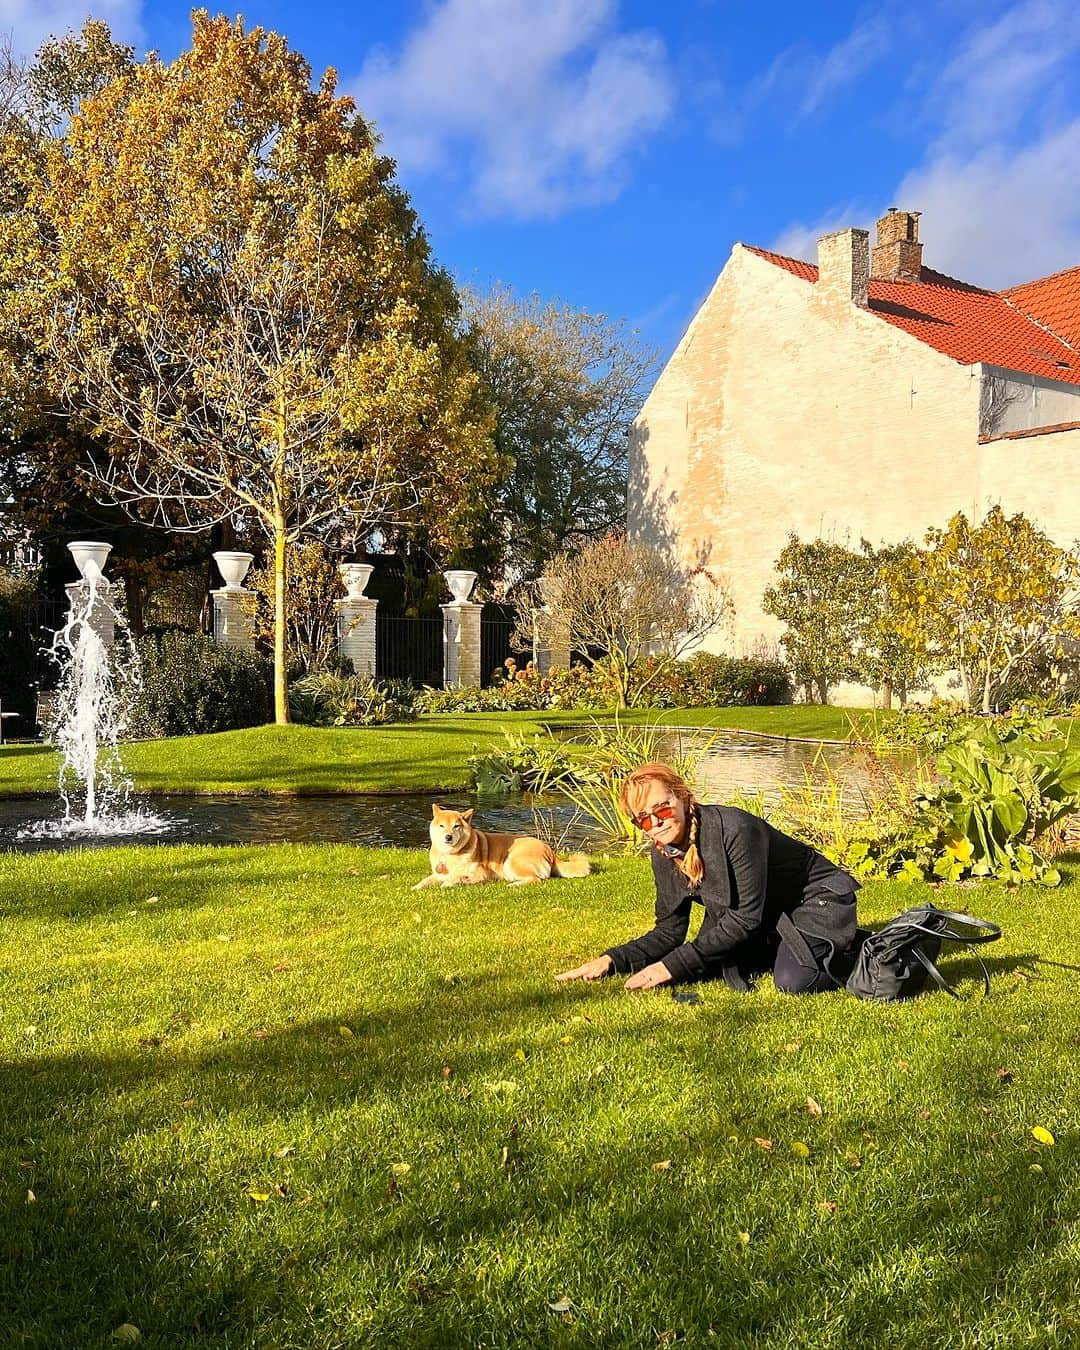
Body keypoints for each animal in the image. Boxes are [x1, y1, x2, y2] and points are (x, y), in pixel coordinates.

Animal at [415, 804, 591, 891]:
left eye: (456, 826)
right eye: (442, 826)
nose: (448, 837)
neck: (450, 855)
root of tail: (550, 850)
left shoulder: (480, 873)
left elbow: (454, 878)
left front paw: (452, 883)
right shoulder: (438, 874)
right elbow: (425, 881)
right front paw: (416, 887)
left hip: (511, 861)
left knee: (535, 879)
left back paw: (513, 885)